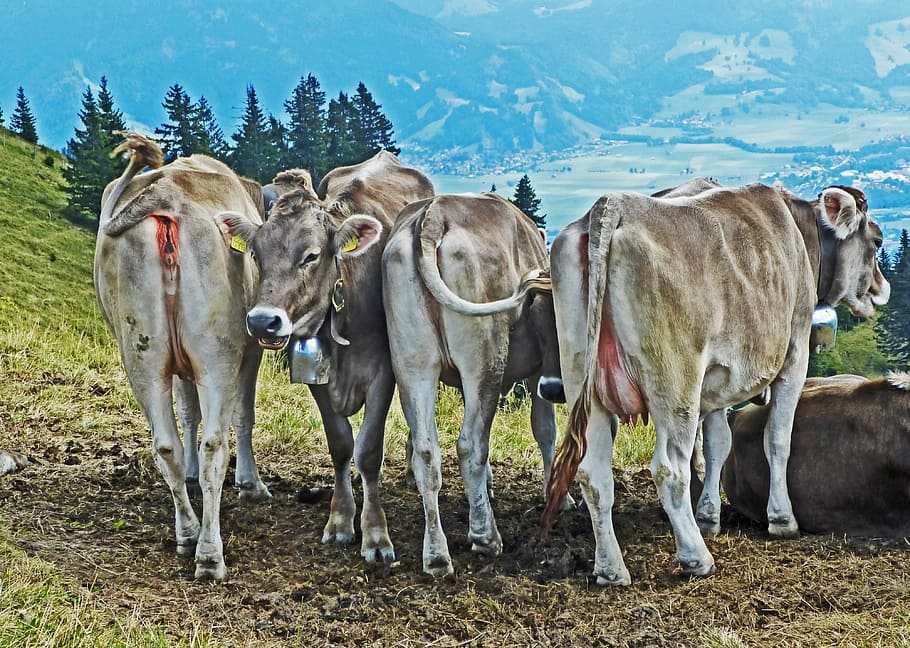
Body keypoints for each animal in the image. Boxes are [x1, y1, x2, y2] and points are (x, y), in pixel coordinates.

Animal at [94, 132, 270, 580]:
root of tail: (168, 194)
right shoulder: (249, 354)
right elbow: (242, 416)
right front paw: (252, 484)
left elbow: (187, 412)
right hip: (216, 353)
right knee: (214, 446)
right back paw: (209, 553)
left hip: (142, 355)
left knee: (166, 445)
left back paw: (188, 532)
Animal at [219, 151, 435, 563]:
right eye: (256, 253)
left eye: (311, 255)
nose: (263, 320)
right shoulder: (315, 375)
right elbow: (341, 445)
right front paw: (340, 520)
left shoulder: (383, 373)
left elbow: (369, 450)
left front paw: (375, 534)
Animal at [382, 192, 566, 576]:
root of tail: (434, 215)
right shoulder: (539, 371)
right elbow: (545, 430)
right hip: (484, 361)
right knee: (469, 445)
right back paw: (485, 536)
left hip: (412, 365)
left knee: (426, 451)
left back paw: (436, 555)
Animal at [542, 180, 890, 585]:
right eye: (877, 241)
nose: (881, 289)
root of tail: (614, 205)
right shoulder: (794, 354)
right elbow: (778, 439)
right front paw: (782, 519)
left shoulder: (718, 380)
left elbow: (718, 445)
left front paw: (709, 515)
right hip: (675, 381)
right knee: (669, 469)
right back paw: (696, 558)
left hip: (584, 380)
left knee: (593, 474)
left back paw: (611, 568)